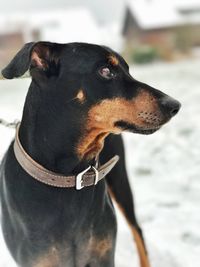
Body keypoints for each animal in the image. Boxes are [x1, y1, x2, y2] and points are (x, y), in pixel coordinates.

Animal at [0, 42, 180, 267]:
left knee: (137, 230)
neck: (67, 176)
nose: (175, 105)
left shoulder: (103, 255)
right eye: (105, 71)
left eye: (128, 70)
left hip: (120, 181)